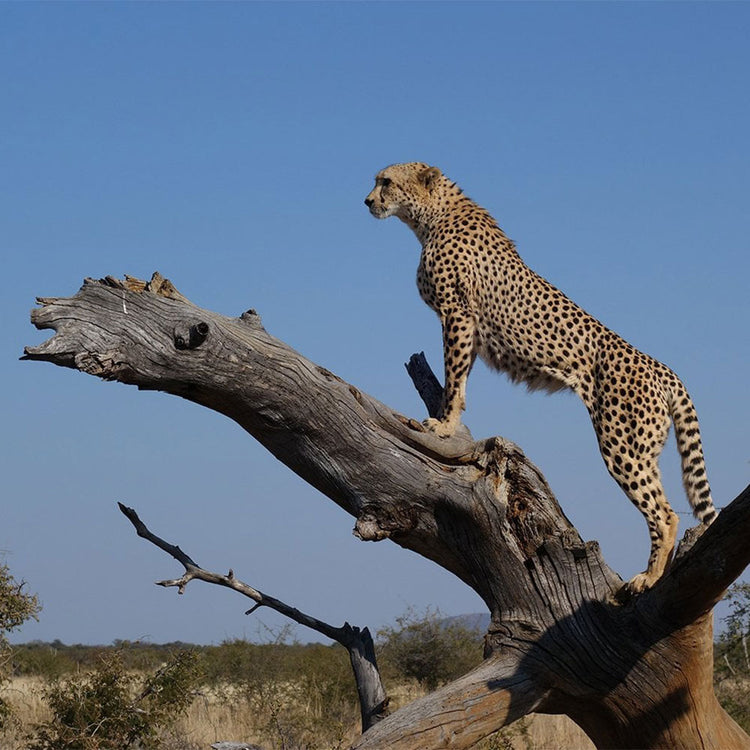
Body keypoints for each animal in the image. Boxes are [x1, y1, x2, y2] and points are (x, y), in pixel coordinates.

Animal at [365, 161, 717, 594]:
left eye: (386, 182)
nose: (367, 201)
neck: (432, 217)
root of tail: (663, 368)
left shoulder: (458, 315)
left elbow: (454, 375)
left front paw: (444, 425)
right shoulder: (468, 325)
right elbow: (460, 380)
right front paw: (450, 418)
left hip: (622, 444)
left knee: (665, 513)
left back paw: (648, 577)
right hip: (646, 447)